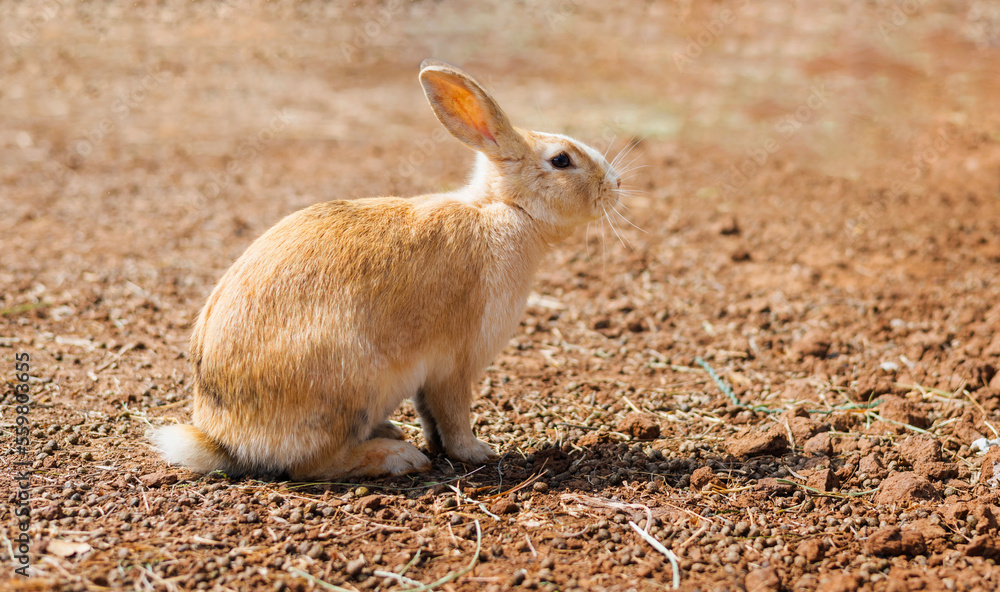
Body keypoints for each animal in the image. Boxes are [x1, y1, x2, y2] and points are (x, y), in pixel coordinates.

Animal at [151, 57, 620, 478]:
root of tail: (223, 439)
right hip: (350, 386)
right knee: (313, 465)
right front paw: (478, 453)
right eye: (561, 160)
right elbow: (454, 415)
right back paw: (399, 457)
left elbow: (431, 416)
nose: (614, 184)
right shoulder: (455, 364)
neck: (504, 208)